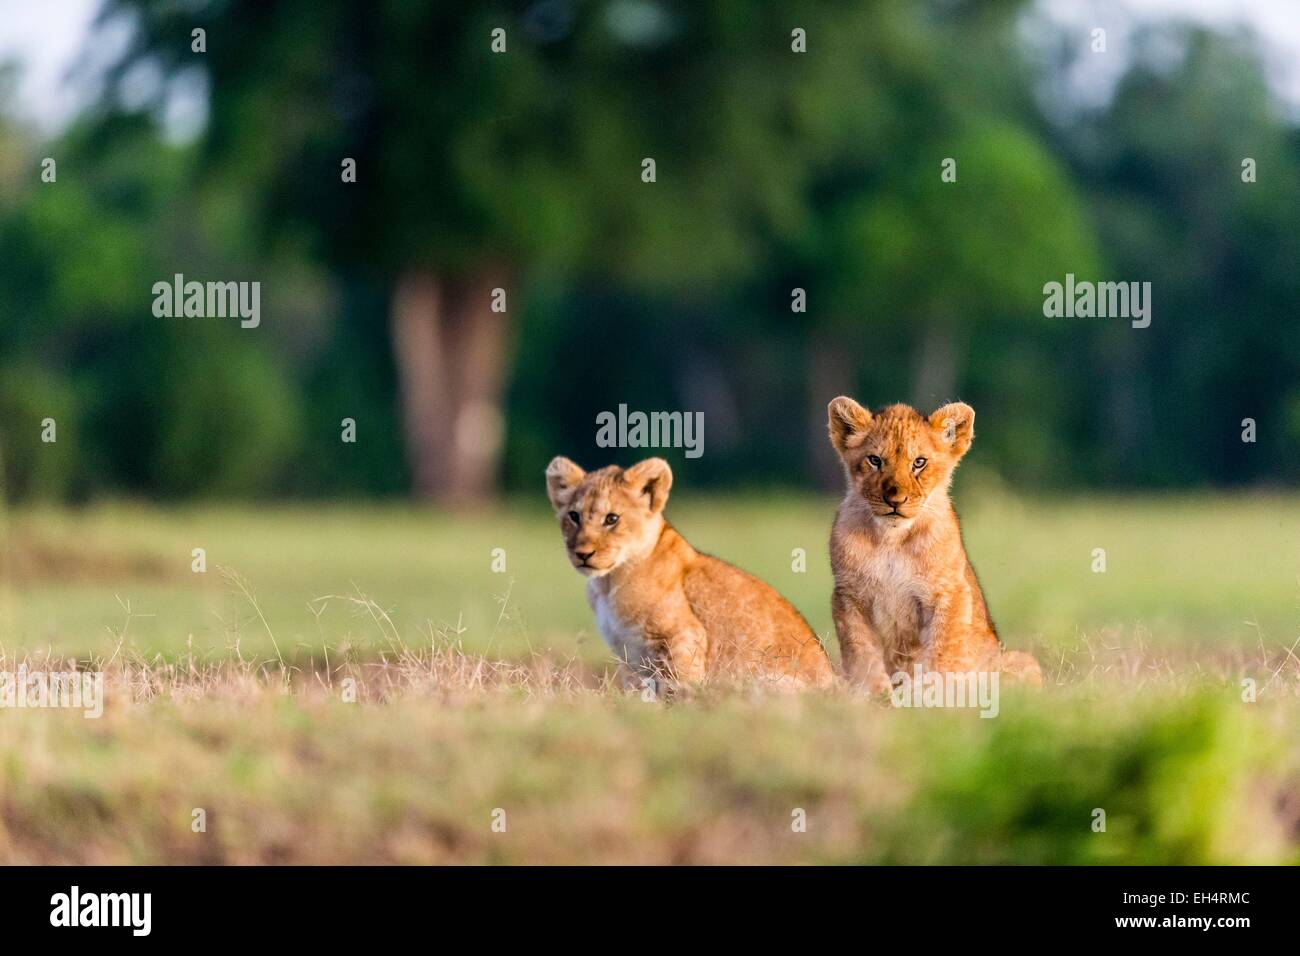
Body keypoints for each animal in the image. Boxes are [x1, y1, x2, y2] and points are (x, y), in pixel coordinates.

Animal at [546, 456, 834, 692]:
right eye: (574, 516)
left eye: (612, 519)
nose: (583, 553)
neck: (608, 583)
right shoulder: (628, 656)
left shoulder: (683, 637)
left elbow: (680, 686)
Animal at [825, 398, 1042, 692]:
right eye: (875, 460)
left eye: (919, 462)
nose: (895, 500)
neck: (891, 540)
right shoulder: (849, 597)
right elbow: (861, 652)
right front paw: (874, 694)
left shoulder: (949, 592)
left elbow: (942, 651)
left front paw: (934, 695)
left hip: (1020, 661)